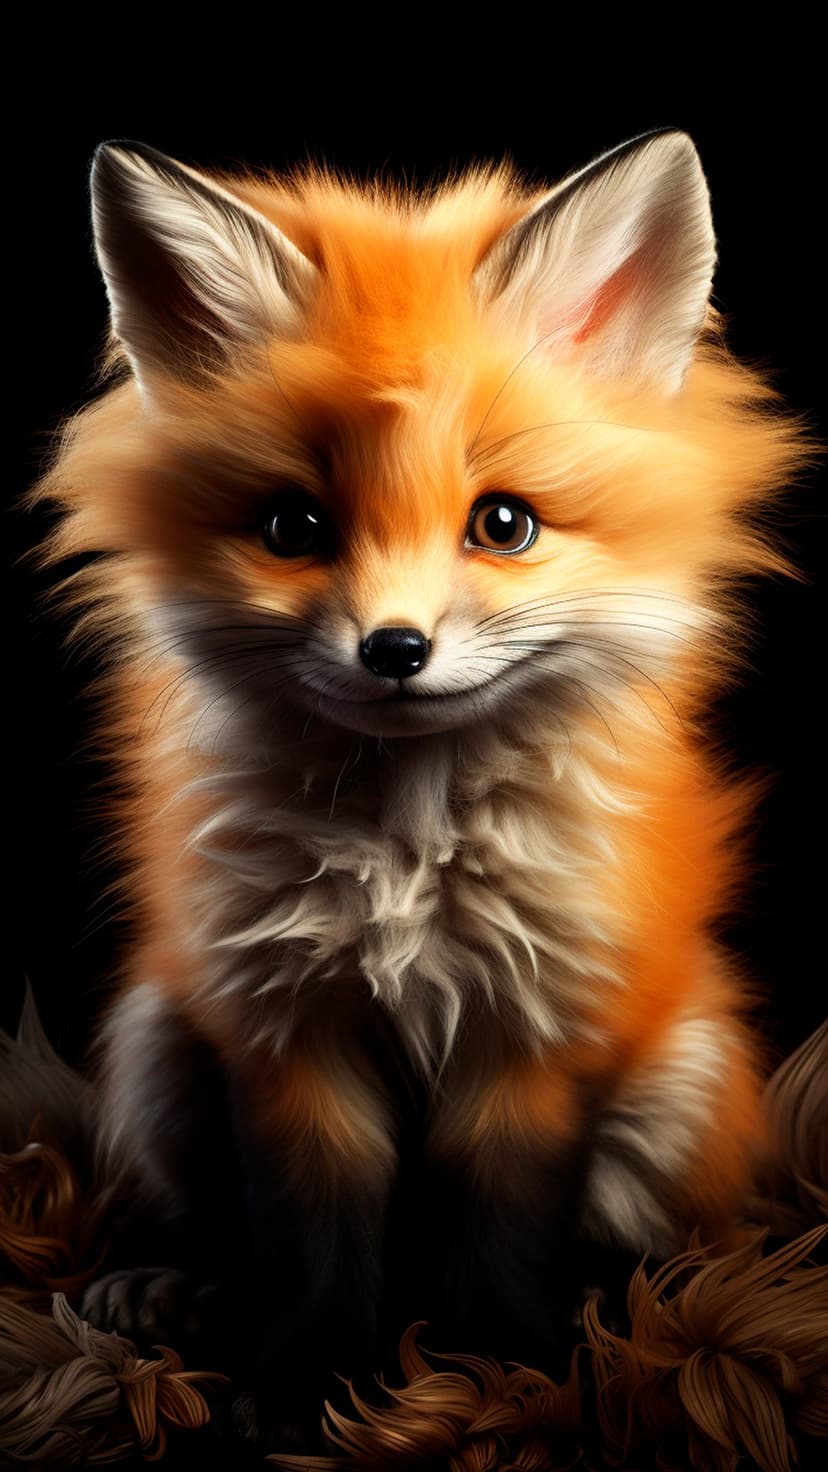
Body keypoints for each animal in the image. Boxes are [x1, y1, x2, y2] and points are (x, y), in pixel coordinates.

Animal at [27, 128, 814, 1452]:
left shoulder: (534, 1030)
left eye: (503, 523)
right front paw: (307, 1398)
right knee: (211, 1226)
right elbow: (306, 1250)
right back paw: (169, 1286)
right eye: (293, 525)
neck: (407, 858)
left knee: (640, 1243)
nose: (393, 648)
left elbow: (500, 1242)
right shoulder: (284, 1028)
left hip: (680, 1083)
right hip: (158, 1046)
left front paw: (495, 1395)